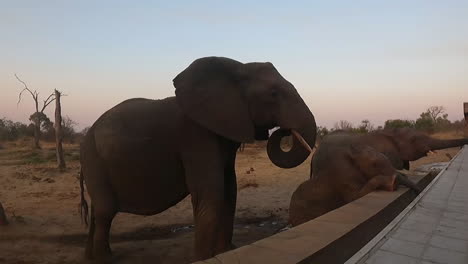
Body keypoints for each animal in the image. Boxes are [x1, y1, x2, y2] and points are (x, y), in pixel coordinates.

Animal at [79, 56, 318, 262]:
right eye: (273, 93)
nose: (284, 131)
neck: (237, 68)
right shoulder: (195, 136)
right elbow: (211, 189)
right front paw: (204, 258)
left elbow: (229, 188)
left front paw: (226, 251)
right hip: (94, 158)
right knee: (105, 210)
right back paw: (104, 259)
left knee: (98, 210)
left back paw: (92, 256)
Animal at [288, 133, 418, 226]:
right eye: (374, 165)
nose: (417, 191)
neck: (352, 150)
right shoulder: (341, 172)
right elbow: (355, 197)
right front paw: (393, 183)